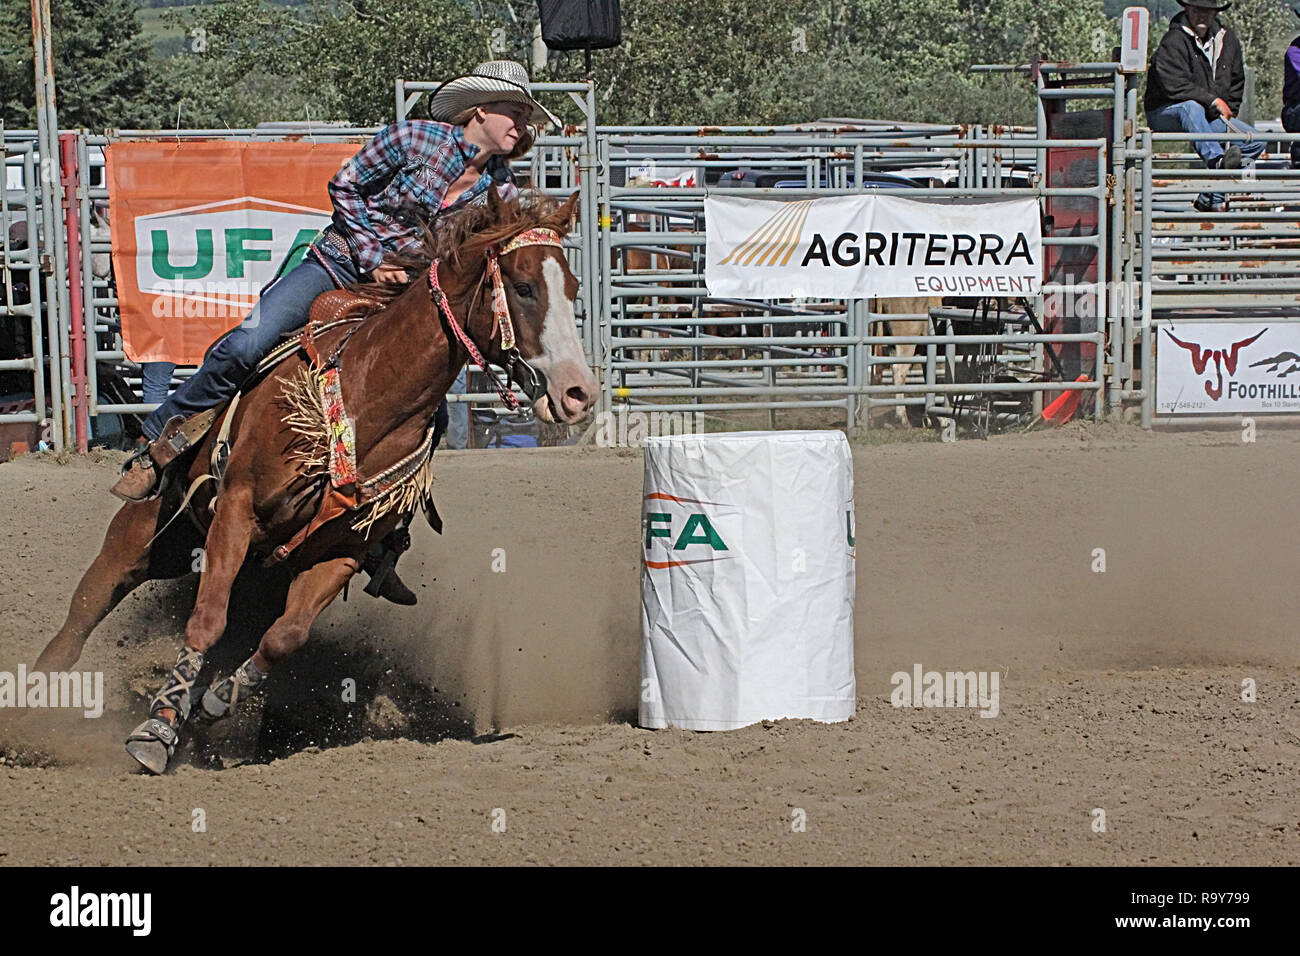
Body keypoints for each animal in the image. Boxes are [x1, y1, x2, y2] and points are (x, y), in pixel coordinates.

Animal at [33, 190, 598, 773]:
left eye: (573, 287)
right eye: (524, 287)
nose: (580, 392)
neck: (369, 398)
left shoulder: (342, 553)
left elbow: (284, 637)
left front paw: (213, 705)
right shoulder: (235, 510)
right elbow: (205, 621)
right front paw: (156, 729)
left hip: (237, 568)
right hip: (150, 534)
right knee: (84, 612)